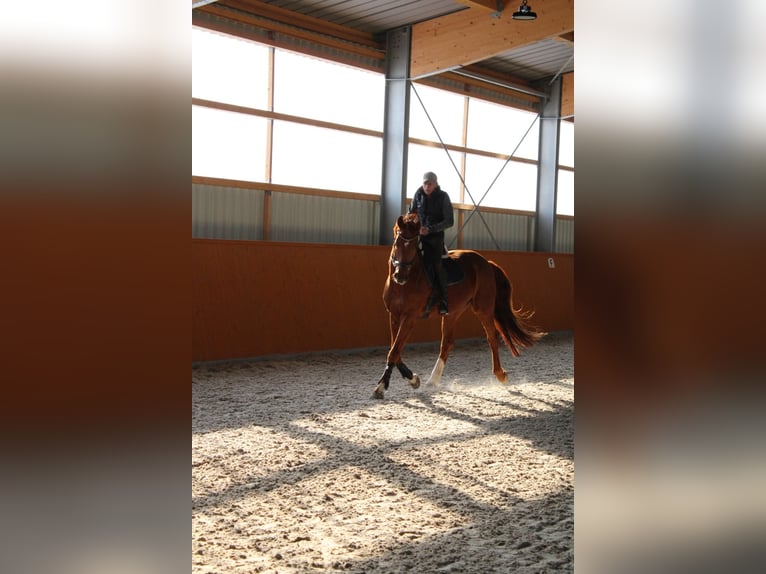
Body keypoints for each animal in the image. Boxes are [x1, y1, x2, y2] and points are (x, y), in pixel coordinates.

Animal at [373, 212, 546, 399]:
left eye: (414, 246)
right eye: (396, 244)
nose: (400, 276)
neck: (405, 284)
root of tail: (486, 263)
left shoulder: (409, 317)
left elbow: (394, 351)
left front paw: (381, 387)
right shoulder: (394, 315)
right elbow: (395, 350)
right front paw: (412, 379)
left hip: (483, 308)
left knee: (491, 337)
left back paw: (501, 375)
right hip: (453, 312)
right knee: (447, 343)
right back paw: (432, 381)